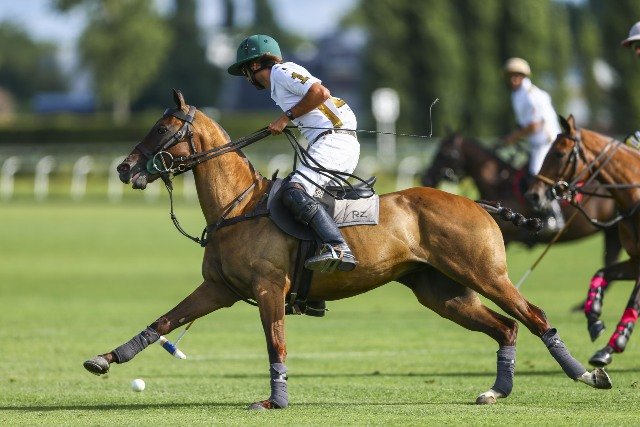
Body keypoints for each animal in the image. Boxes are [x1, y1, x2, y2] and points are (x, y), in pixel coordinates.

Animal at [527, 114, 640, 367]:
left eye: (559, 154)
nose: (533, 195)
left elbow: (632, 303)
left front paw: (609, 348)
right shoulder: (635, 261)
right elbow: (600, 273)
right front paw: (594, 319)